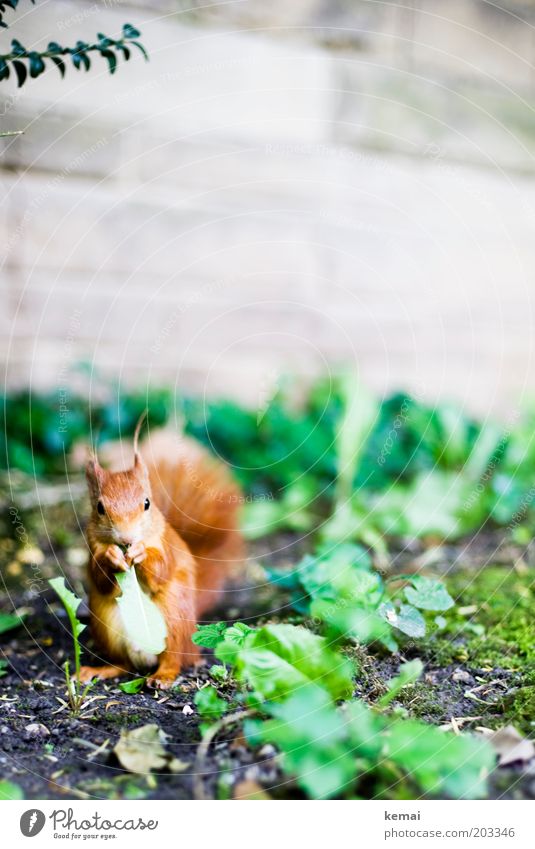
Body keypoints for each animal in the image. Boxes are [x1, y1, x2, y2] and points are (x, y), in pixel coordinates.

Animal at [78, 418, 246, 688]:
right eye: (100, 508)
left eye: (147, 503)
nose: (127, 539)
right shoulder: (92, 546)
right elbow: (98, 578)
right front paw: (111, 557)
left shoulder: (166, 545)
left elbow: (161, 570)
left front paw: (141, 553)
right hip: (106, 625)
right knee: (123, 664)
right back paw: (99, 670)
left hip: (174, 618)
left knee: (174, 659)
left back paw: (163, 675)